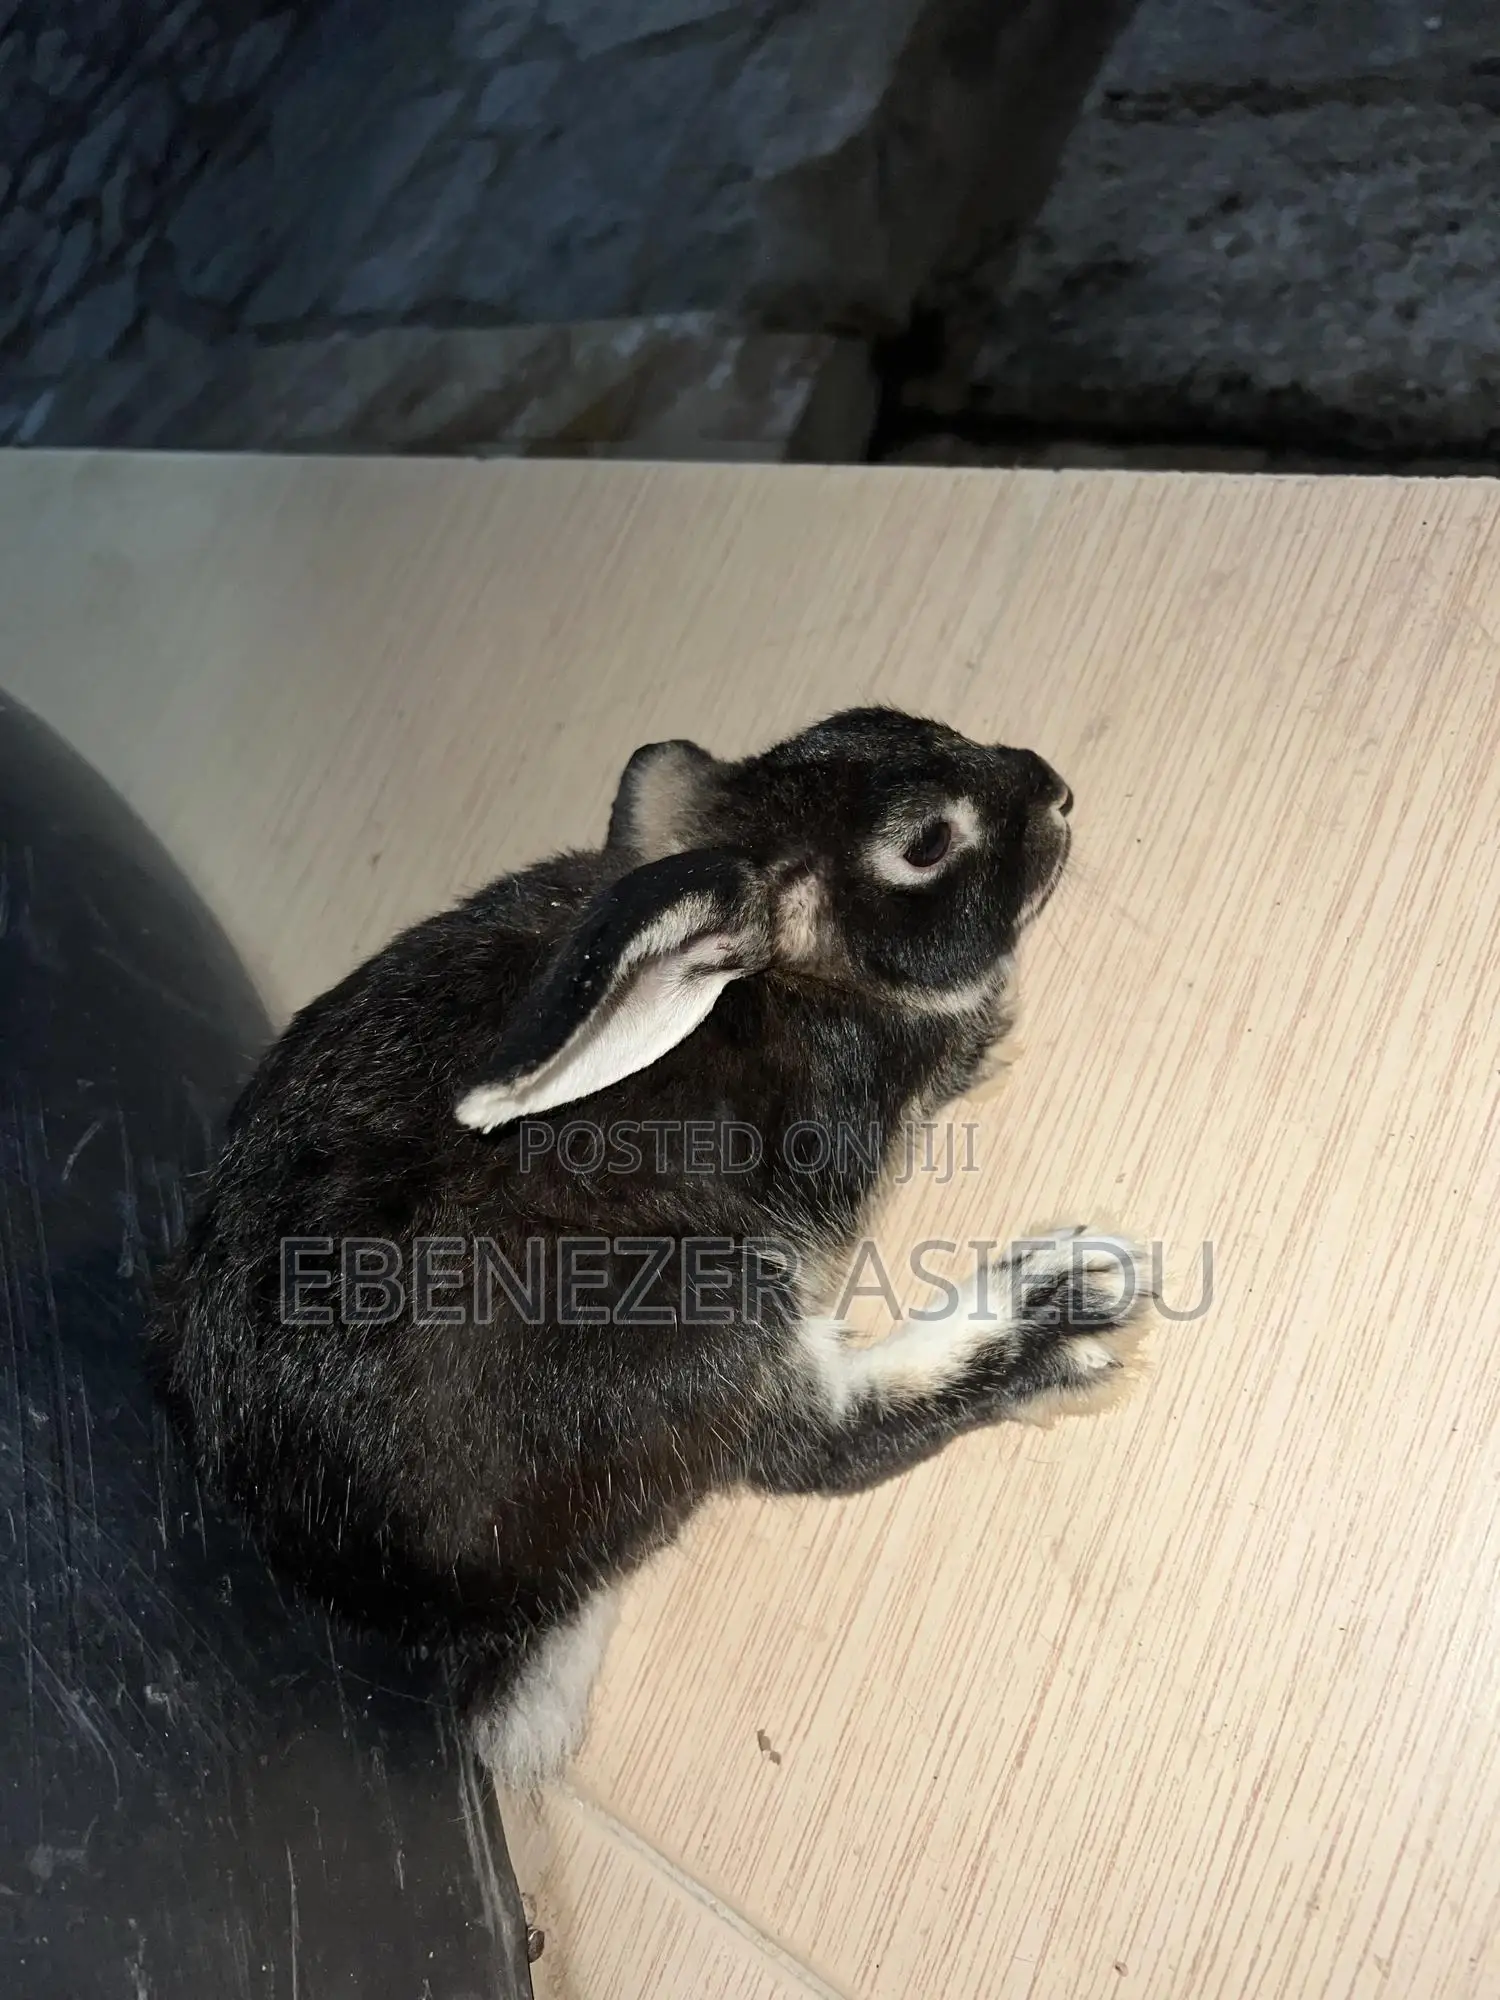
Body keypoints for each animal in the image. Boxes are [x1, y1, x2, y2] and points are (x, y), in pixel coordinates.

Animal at [151, 705, 1154, 1791]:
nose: (1054, 791)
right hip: (710, 1309)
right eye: (926, 843)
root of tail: (492, 1608)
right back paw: (1068, 1307)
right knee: (813, 1441)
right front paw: (994, 1037)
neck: (794, 981)